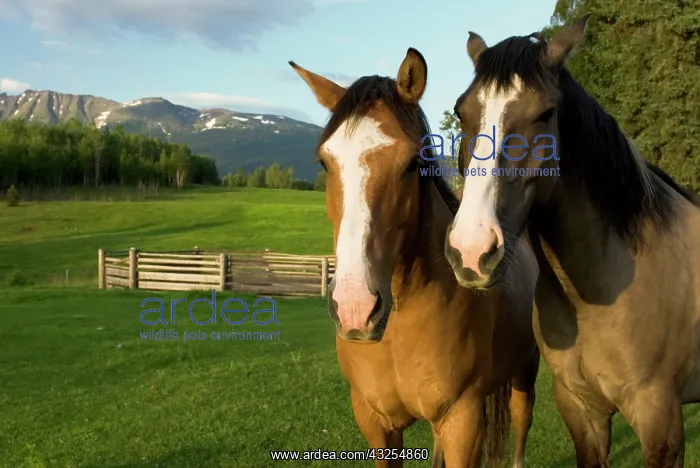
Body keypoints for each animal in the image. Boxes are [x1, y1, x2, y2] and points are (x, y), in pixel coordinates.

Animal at [289, 48, 541, 468]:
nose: (355, 308)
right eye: (325, 162)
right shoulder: (377, 425)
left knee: (522, 422)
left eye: (412, 163)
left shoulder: (462, 422)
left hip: (526, 367)